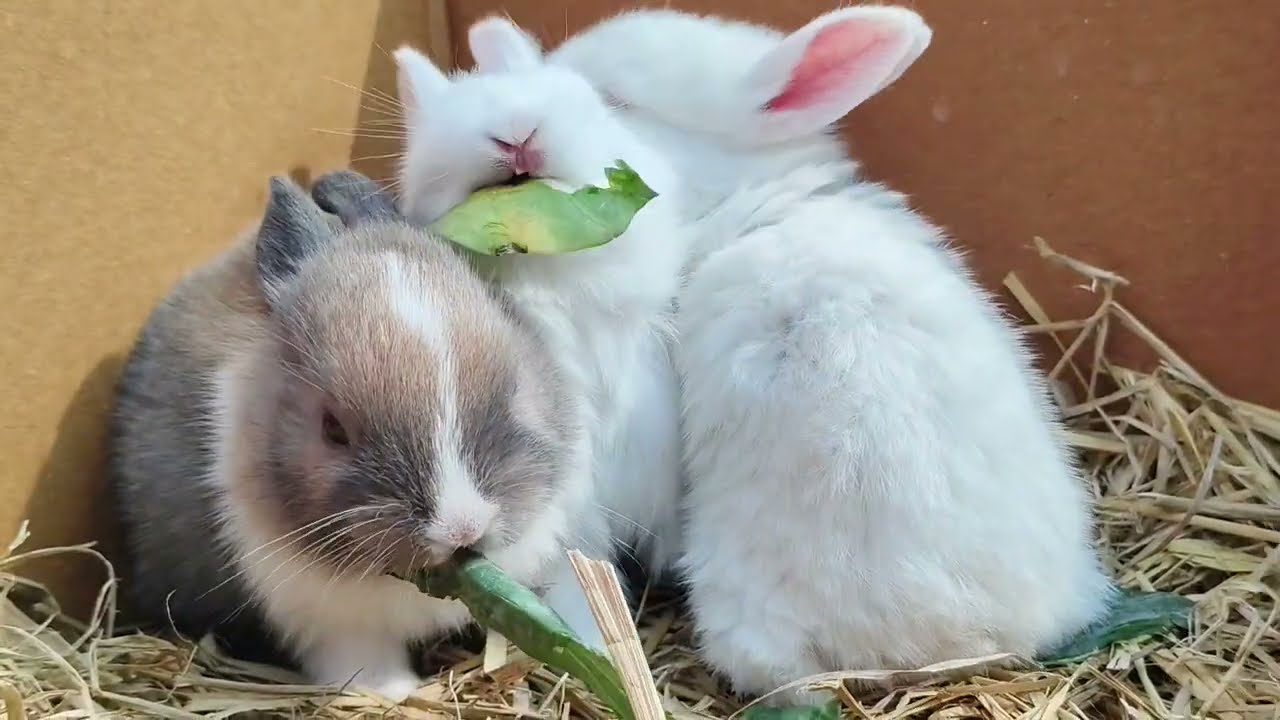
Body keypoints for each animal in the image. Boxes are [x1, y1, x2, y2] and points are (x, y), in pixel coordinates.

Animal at [108, 169, 599, 702]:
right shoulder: (326, 619)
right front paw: (395, 692)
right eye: (333, 429)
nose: (462, 530)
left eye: (513, 394)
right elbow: (359, 656)